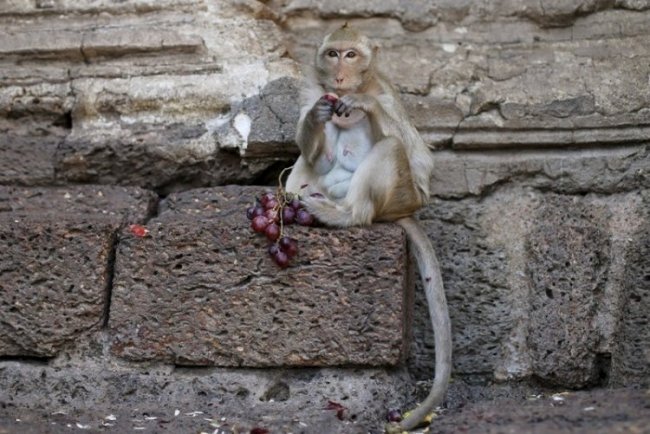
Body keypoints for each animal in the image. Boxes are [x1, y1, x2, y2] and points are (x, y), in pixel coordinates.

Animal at [286, 24, 454, 434]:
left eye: (351, 55)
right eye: (332, 54)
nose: (340, 75)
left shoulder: (387, 95)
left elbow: (418, 158)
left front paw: (363, 105)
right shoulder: (312, 90)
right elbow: (310, 142)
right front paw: (318, 116)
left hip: (399, 197)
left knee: (392, 146)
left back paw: (349, 215)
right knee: (306, 165)